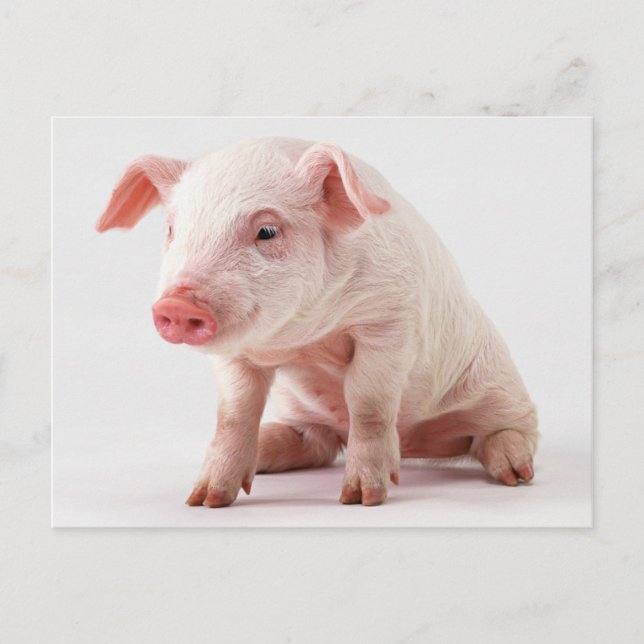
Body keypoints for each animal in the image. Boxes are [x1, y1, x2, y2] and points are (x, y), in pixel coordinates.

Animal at [96, 137, 538, 507]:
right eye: (172, 229)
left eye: (267, 231)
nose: (177, 302)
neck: (304, 335)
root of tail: (418, 445)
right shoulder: (233, 356)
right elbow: (234, 414)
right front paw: (204, 500)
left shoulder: (389, 322)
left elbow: (369, 404)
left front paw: (362, 499)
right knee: (316, 442)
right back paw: (268, 448)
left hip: (500, 388)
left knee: (506, 432)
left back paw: (515, 473)